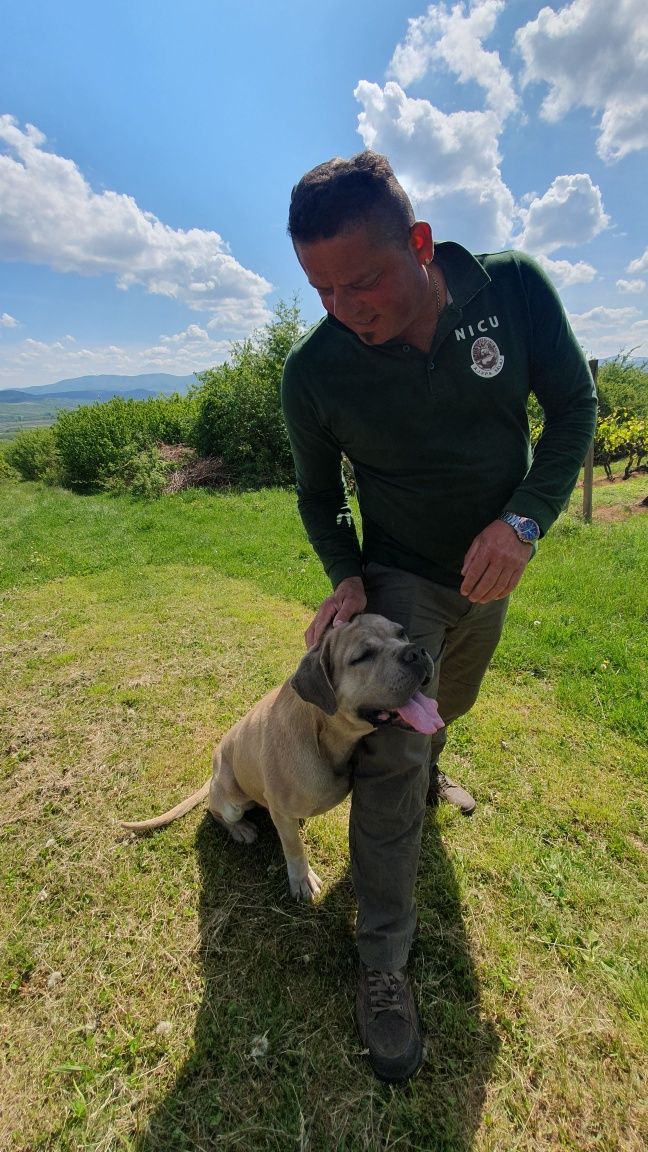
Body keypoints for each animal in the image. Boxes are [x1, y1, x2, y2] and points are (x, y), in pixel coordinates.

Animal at [121, 617, 440, 903]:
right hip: (231, 801)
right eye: (362, 656)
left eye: (401, 632)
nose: (417, 652)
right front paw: (302, 880)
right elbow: (294, 848)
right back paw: (241, 829)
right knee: (217, 813)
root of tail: (212, 774)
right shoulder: (282, 813)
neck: (322, 731)